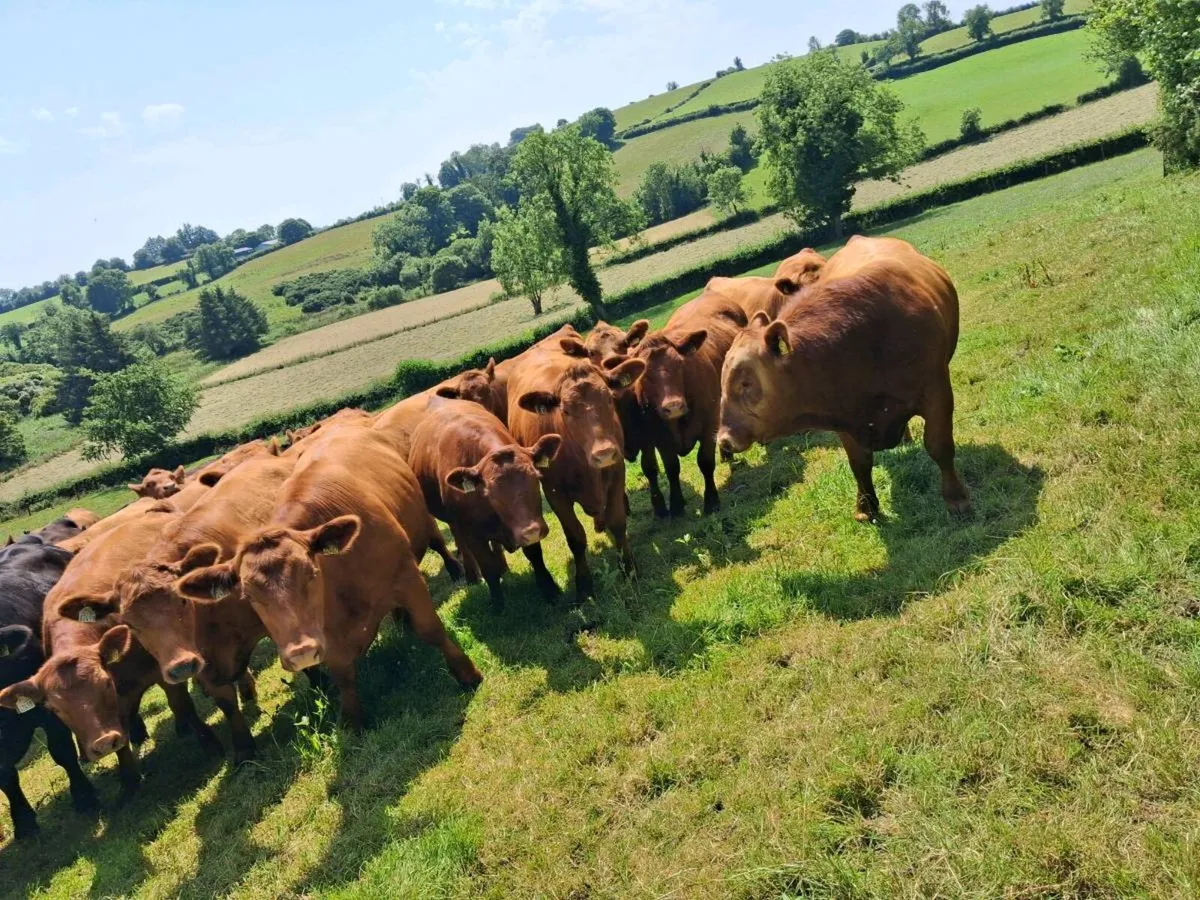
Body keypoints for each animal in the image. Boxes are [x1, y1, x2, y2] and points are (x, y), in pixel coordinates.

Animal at [0, 507, 225, 797]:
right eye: (56, 708)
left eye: (105, 684)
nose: (104, 742)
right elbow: (123, 736)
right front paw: (129, 781)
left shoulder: (162, 670)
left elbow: (182, 704)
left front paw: (209, 742)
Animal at [176, 423, 482, 729]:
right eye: (249, 596)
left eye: (311, 575)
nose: (301, 652)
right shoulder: (326, 636)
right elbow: (342, 674)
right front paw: (354, 720)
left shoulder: (407, 578)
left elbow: (431, 629)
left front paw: (467, 673)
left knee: (436, 541)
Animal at [408, 398, 562, 606]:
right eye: (490, 493)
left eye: (536, 477)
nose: (532, 530)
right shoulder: (472, 533)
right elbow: (488, 567)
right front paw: (497, 604)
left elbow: (535, 555)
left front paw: (550, 590)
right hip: (453, 522)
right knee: (461, 542)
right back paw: (472, 575)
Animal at [506, 342, 646, 598]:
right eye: (566, 411)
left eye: (609, 398)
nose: (604, 452)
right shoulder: (554, 493)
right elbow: (576, 538)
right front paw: (584, 584)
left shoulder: (616, 471)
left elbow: (618, 522)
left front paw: (629, 568)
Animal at [717, 235, 971, 521]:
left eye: (746, 383)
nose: (724, 439)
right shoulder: (843, 415)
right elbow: (859, 463)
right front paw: (866, 506)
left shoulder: (937, 392)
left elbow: (940, 446)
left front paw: (956, 499)